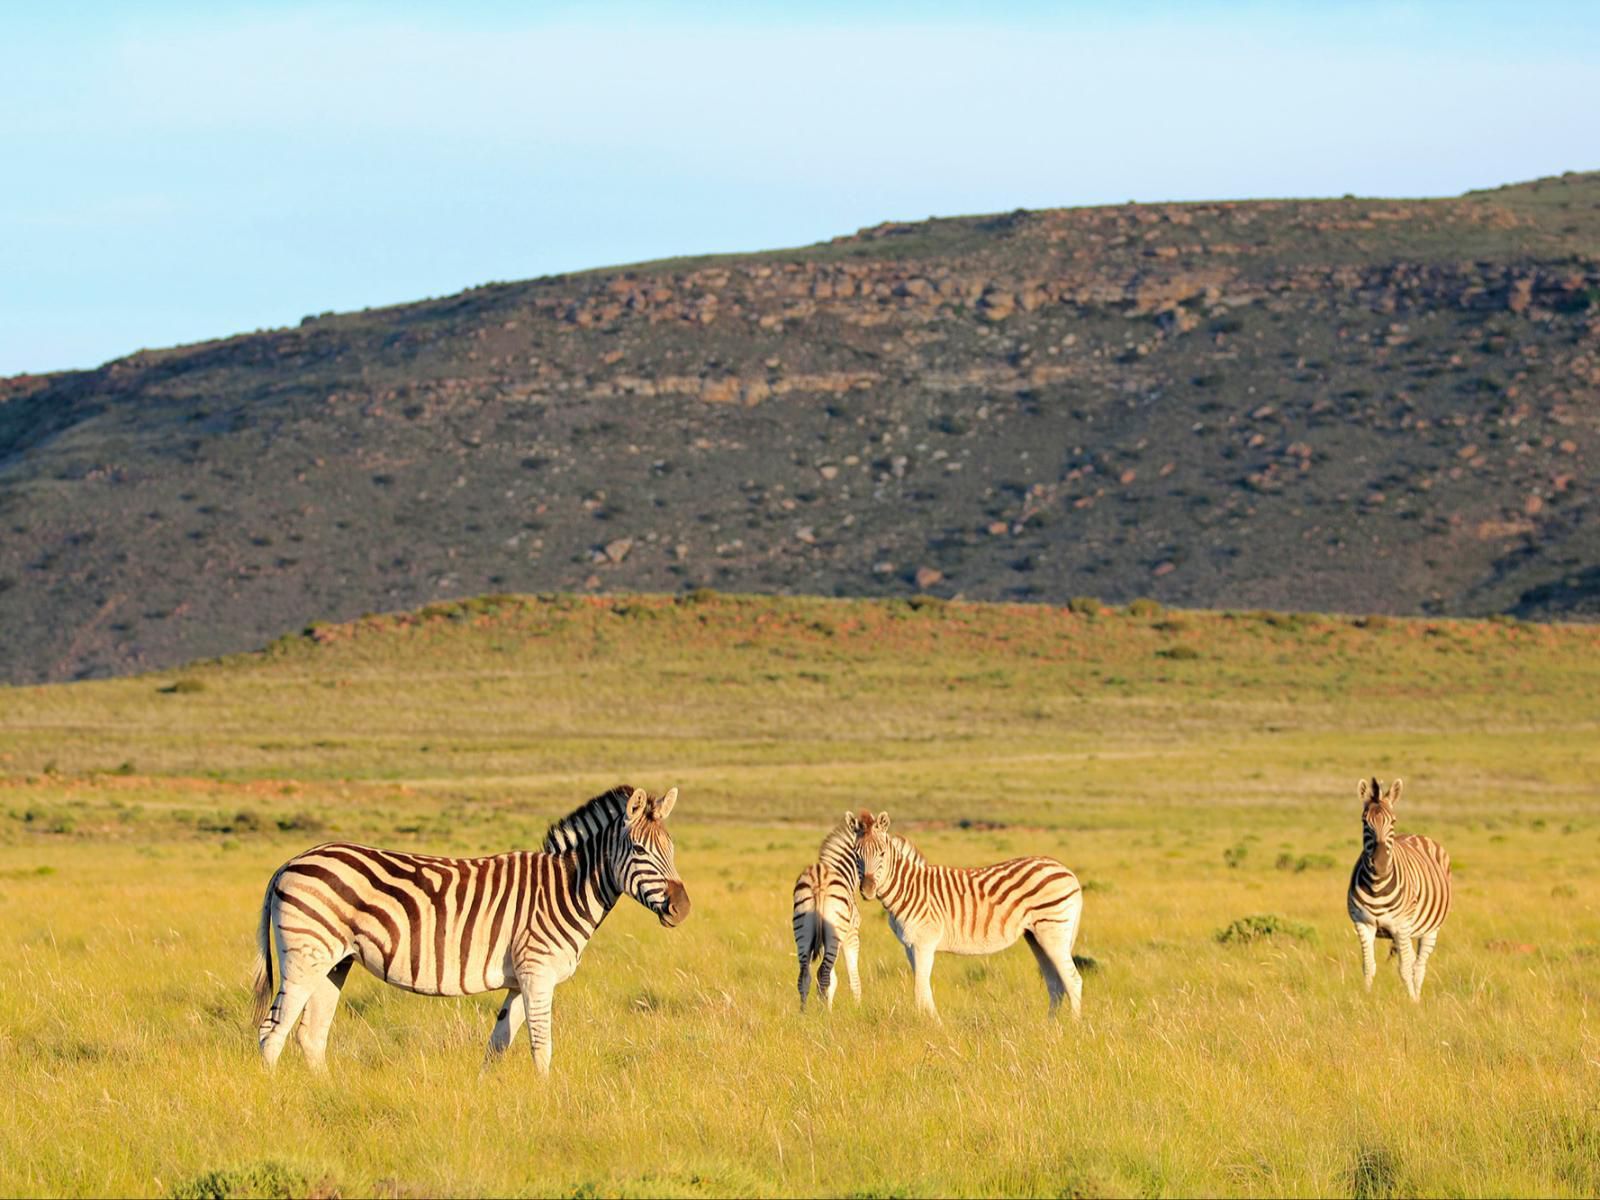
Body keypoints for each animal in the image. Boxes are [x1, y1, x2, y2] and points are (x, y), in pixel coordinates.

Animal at [252, 784, 691, 1075]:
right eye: (639, 851)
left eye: (671, 850)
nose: (683, 908)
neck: (564, 889)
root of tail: (290, 861)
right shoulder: (537, 972)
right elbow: (541, 1046)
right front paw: (548, 1101)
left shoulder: (520, 979)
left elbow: (497, 1045)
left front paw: (490, 1100)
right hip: (305, 956)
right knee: (272, 1031)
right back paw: (279, 1101)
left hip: (334, 962)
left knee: (311, 1034)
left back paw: (327, 1095)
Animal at [790, 812, 864, 1011]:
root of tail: (819, 878)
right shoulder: (851, 935)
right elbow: (853, 976)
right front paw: (857, 1008)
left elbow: (832, 979)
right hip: (834, 933)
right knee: (823, 972)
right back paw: (823, 1015)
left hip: (802, 929)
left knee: (805, 975)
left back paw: (803, 1013)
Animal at [844, 809, 1081, 1024]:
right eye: (856, 855)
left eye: (882, 853)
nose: (867, 890)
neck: (908, 889)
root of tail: (1068, 873)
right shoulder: (910, 945)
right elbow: (923, 988)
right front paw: (931, 1024)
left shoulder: (924, 943)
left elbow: (920, 990)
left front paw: (931, 1027)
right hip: (1036, 936)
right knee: (1056, 984)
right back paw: (1050, 1027)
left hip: (1053, 932)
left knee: (1073, 981)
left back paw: (1073, 1028)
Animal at [1344, 774, 1459, 998]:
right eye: (1364, 822)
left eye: (1393, 821)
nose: (1380, 865)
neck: (1377, 886)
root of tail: (1417, 835)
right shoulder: (1363, 924)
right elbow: (1368, 966)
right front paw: (1366, 999)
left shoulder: (1401, 926)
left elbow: (1405, 968)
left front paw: (1412, 1002)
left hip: (1429, 930)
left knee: (1419, 965)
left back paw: (1418, 998)